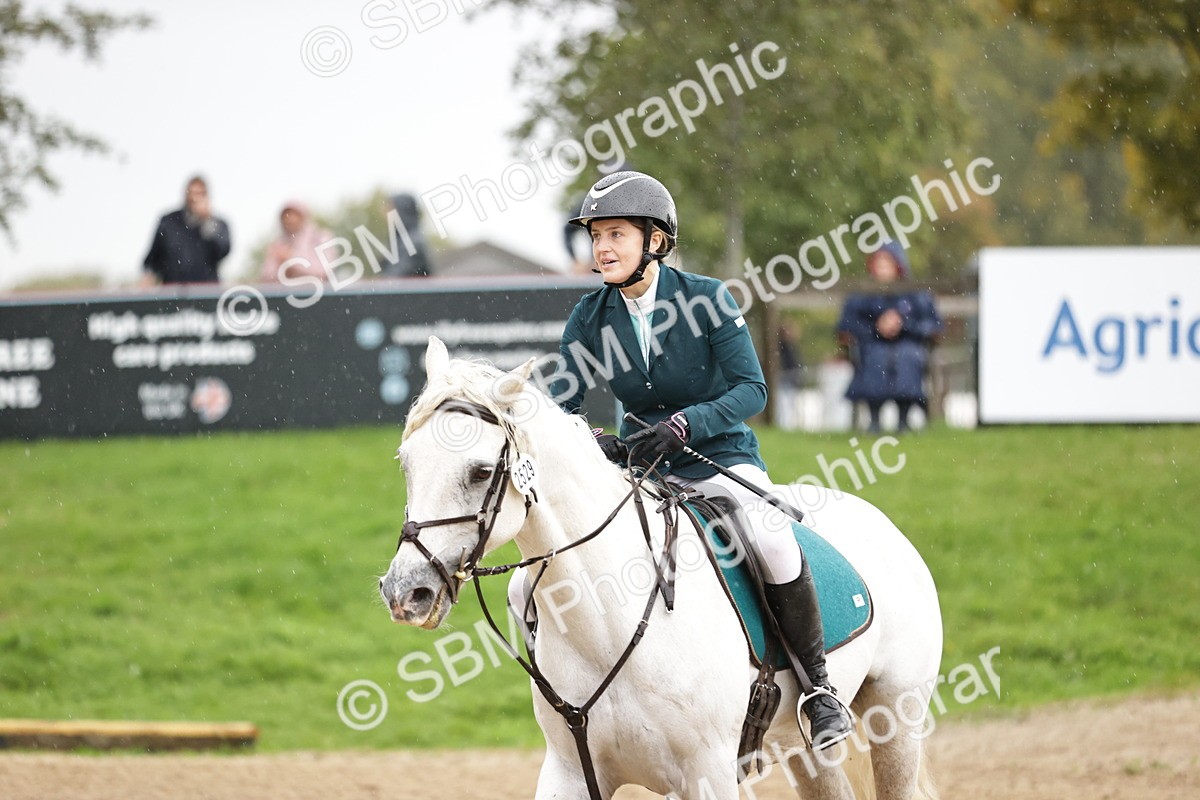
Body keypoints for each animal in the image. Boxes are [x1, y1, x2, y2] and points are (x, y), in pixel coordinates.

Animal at [380, 337, 943, 800]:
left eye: (479, 472)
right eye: (405, 463)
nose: (406, 592)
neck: (606, 617)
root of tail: (882, 522)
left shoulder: (707, 775)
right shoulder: (569, 771)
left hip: (896, 718)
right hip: (800, 749)